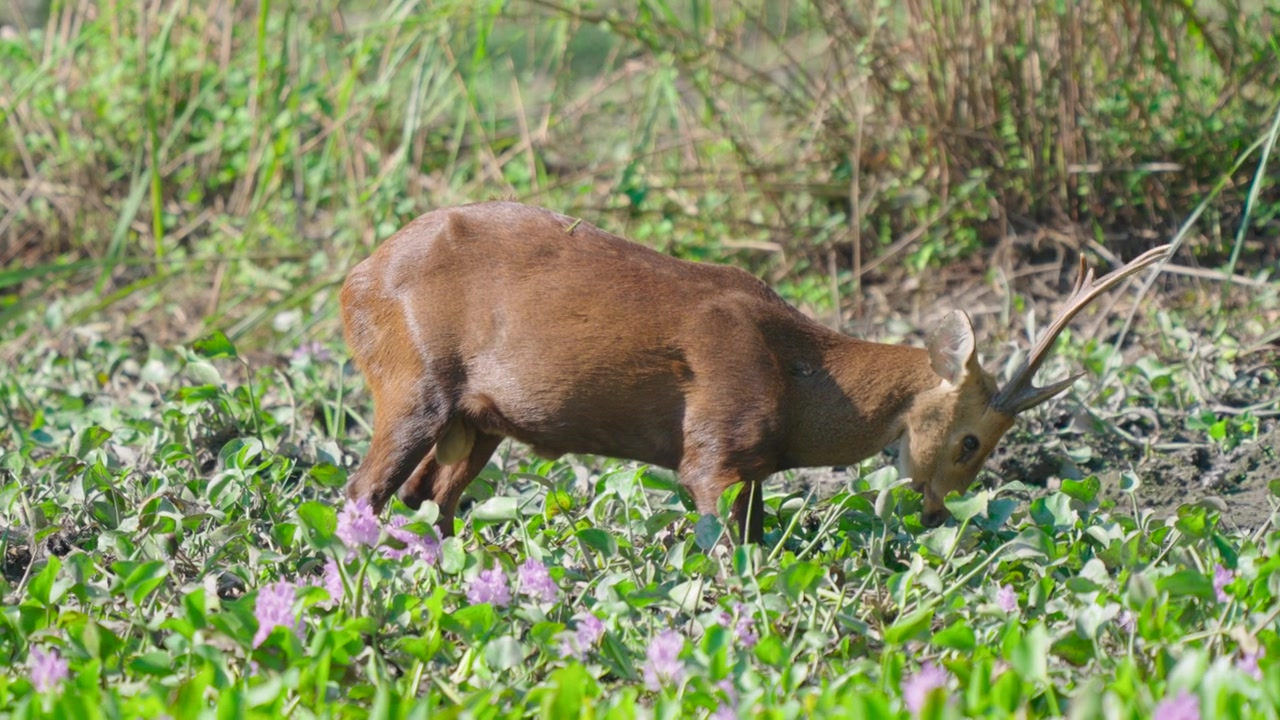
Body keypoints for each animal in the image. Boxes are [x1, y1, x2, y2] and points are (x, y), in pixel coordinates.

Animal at [340, 201, 1170, 543]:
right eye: (972, 440)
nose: (936, 513)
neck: (800, 376)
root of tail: (353, 282)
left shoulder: (757, 468)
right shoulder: (712, 452)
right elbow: (728, 558)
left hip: (476, 421)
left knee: (428, 502)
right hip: (411, 387)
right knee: (361, 494)